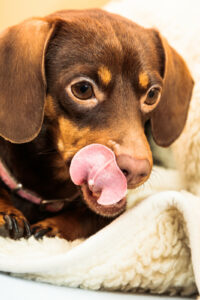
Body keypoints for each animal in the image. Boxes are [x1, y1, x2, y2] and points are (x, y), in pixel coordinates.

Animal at [0, 8, 194, 240]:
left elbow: (86, 217)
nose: (136, 170)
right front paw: (6, 213)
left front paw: (54, 227)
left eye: (152, 94)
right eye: (82, 89)